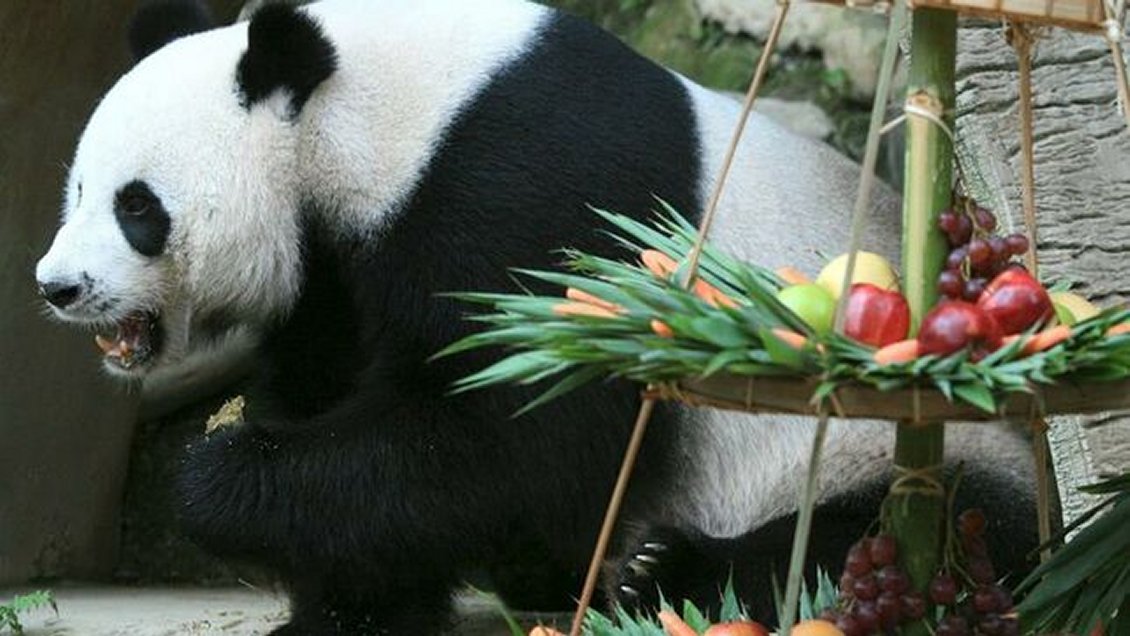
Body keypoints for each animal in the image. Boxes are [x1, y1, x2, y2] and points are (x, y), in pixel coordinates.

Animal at [35, 0, 1039, 633]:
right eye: (75, 188)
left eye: (136, 206)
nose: (58, 286)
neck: (374, 114)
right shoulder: (335, 271)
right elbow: (340, 400)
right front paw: (348, 609)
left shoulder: (530, 185)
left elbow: (520, 439)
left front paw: (216, 478)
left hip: (886, 441)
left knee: (902, 531)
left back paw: (660, 571)